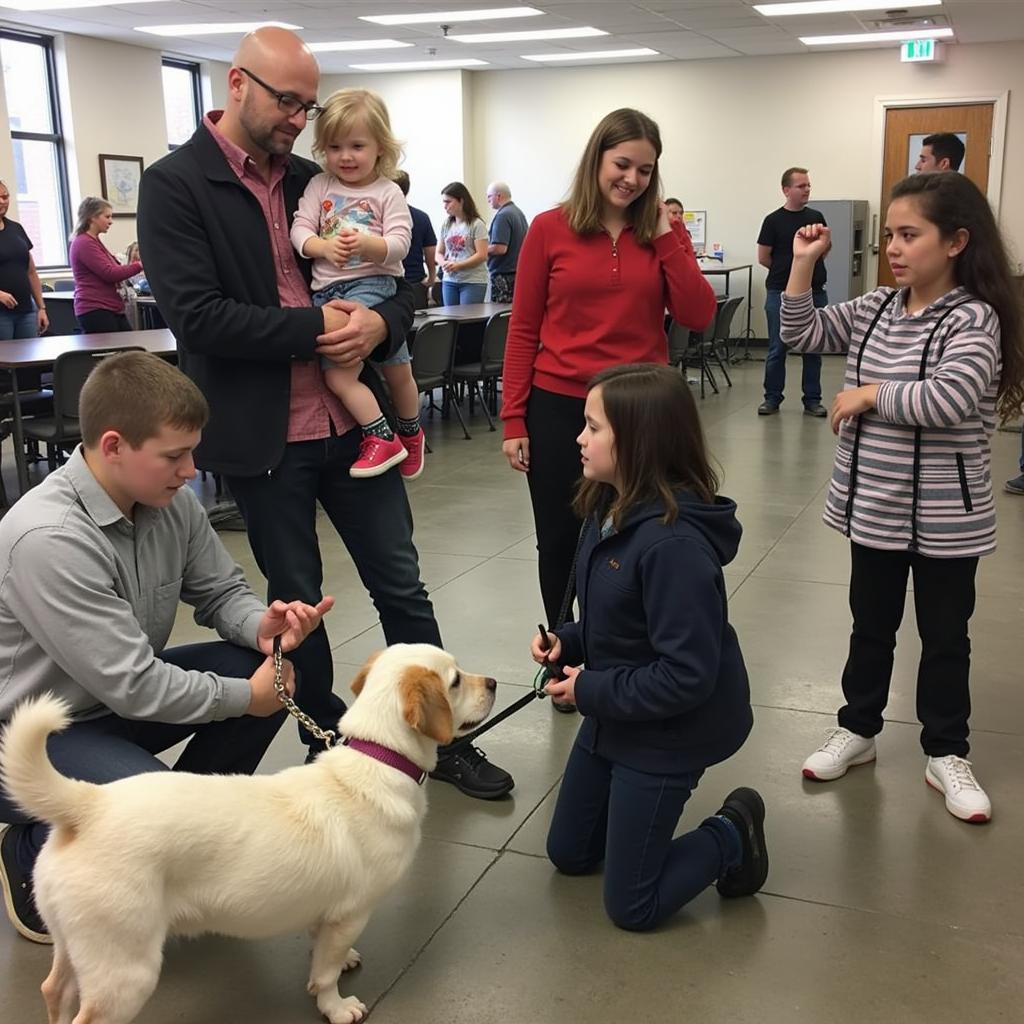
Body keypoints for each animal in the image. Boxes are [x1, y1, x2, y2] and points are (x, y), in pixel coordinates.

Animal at [0, 643, 495, 1019]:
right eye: (455, 680)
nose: (491, 682)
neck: (378, 756)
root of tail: (88, 804)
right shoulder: (351, 913)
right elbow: (324, 974)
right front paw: (335, 1006)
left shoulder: (327, 914)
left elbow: (321, 947)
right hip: (125, 968)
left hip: (75, 944)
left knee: (54, 990)